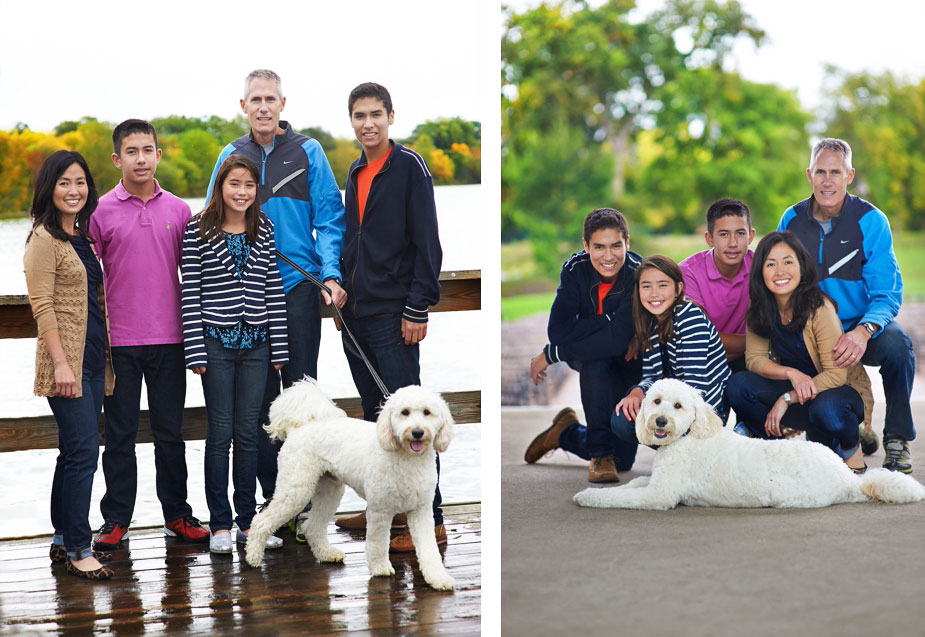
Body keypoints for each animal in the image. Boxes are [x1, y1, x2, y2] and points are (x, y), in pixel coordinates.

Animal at [240, 378, 452, 592]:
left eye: (427, 412)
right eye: (405, 412)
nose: (417, 432)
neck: (407, 458)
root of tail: (299, 428)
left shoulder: (421, 510)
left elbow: (429, 548)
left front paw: (438, 578)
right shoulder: (380, 509)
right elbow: (377, 543)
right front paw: (380, 568)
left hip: (328, 491)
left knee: (312, 527)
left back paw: (327, 554)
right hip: (296, 489)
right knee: (260, 522)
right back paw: (253, 558)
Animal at [572, 380, 920, 510]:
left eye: (678, 406)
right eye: (656, 401)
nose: (659, 421)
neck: (689, 435)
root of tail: (848, 479)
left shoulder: (658, 496)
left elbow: (618, 496)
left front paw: (588, 496)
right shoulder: (655, 481)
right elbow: (635, 482)